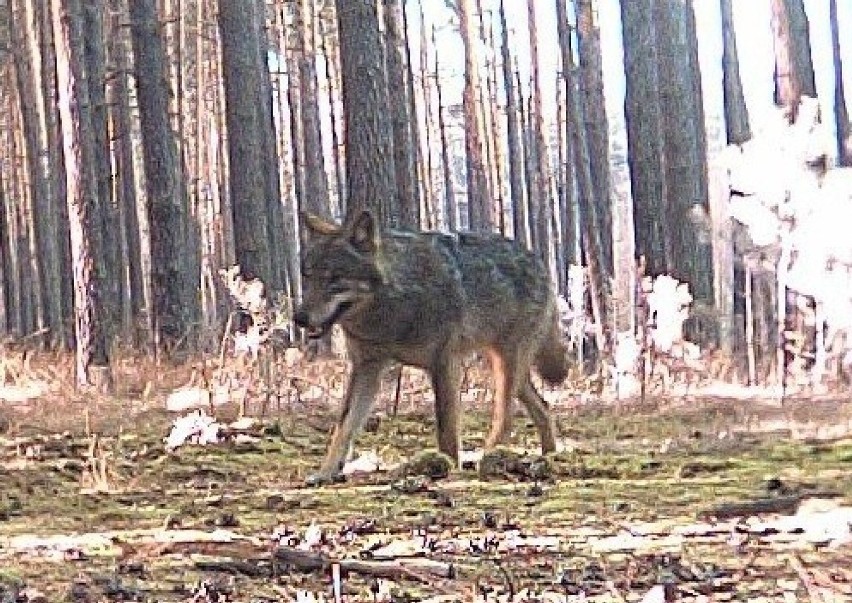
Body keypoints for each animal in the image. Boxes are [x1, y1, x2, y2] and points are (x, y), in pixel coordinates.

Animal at [292, 209, 564, 486]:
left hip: (506, 367)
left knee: (506, 417)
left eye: (335, 279)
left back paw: (491, 459)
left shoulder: (444, 363)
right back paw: (549, 457)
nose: (299, 318)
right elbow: (343, 426)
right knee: (543, 407)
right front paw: (325, 472)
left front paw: (448, 468)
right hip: (505, 369)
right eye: (307, 276)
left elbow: (446, 428)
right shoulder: (366, 368)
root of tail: (539, 261)